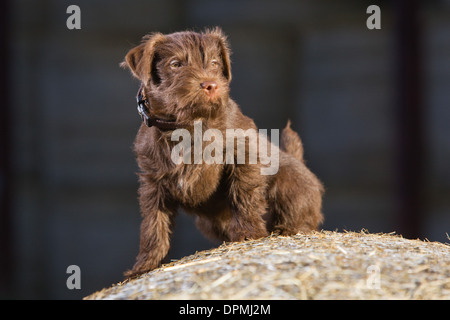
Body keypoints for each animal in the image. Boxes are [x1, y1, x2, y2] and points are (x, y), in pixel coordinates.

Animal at [121, 28, 322, 278]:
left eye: (215, 63)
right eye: (175, 64)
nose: (211, 85)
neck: (190, 124)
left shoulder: (243, 155)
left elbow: (244, 195)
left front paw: (247, 234)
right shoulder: (152, 183)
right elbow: (153, 223)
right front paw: (145, 264)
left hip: (290, 184)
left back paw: (287, 228)